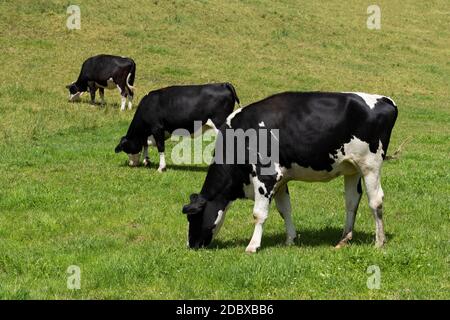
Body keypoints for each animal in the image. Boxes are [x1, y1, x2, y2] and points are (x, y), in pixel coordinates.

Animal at [181, 92, 400, 252]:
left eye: (193, 217)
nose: (191, 245)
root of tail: (386, 100)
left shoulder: (266, 176)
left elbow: (259, 214)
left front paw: (252, 246)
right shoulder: (281, 180)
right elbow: (285, 210)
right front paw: (290, 240)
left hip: (370, 166)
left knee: (376, 201)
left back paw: (379, 242)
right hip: (352, 168)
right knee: (352, 202)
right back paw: (343, 240)